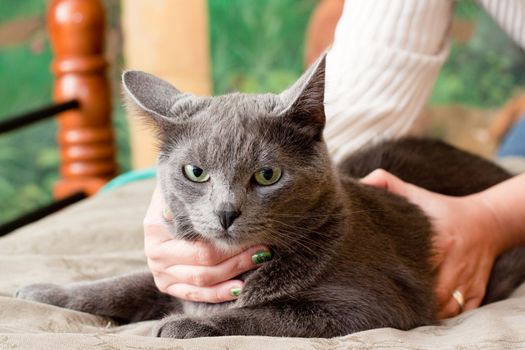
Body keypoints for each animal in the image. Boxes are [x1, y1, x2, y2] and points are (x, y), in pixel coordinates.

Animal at [15, 57, 524, 340]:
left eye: (267, 175)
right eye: (196, 173)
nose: (225, 212)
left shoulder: (376, 306)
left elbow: (270, 314)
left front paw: (190, 325)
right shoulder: (179, 277)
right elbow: (127, 284)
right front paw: (44, 291)